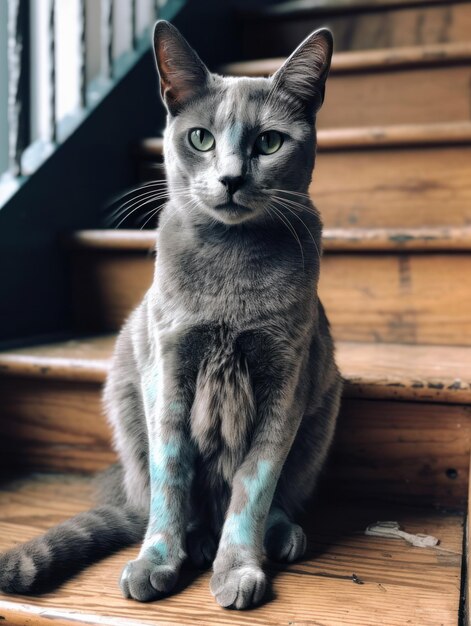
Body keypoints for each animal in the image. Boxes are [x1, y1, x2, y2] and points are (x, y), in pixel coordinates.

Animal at [0, 22, 342, 608]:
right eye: (201, 138)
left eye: (269, 142)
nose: (230, 178)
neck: (232, 267)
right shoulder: (170, 364)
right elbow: (173, 472)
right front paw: (158, 560)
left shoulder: (287, 376)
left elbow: (255, 482)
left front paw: (237, 568)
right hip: (125, 390)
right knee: (155, 497)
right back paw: (196, 541)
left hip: (324, 404)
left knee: (278, 495)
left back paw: (277, 536)